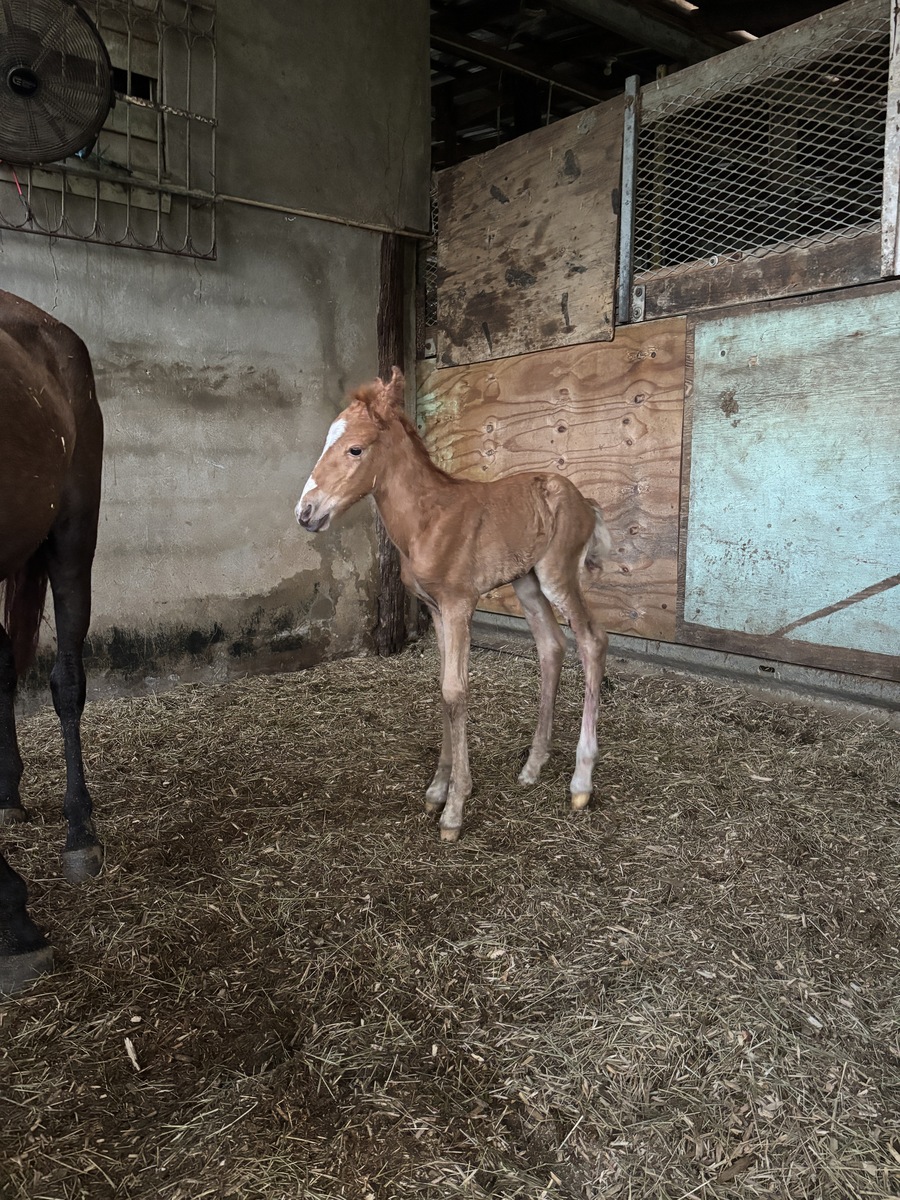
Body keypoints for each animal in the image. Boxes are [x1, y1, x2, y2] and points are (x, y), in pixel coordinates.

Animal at [296, 367, 612, 842]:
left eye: (355, 448)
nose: (305, 512)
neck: (428, 521)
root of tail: (583, 499)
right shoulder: (435, 608)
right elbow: (441, 689)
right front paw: (436, 790)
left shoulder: (460, 603)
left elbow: (455, 691)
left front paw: (454, 809)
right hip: (528, 582)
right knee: (551, 646)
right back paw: (532, 766)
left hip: (559, 573)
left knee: (591, 640)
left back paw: (580, 783)